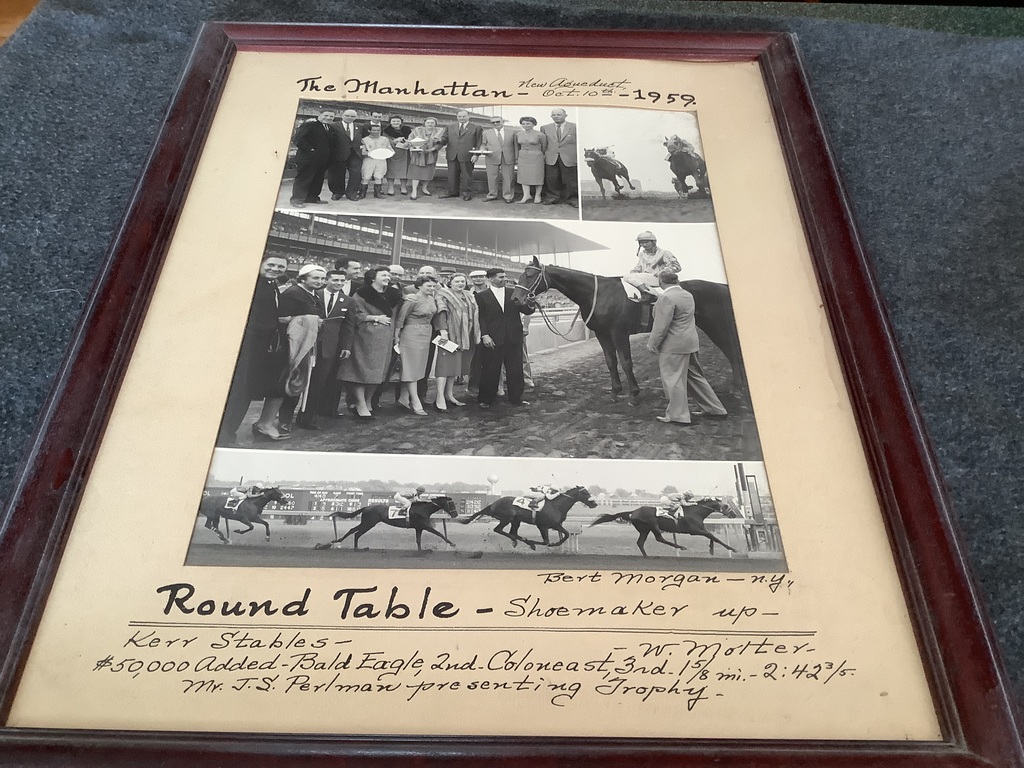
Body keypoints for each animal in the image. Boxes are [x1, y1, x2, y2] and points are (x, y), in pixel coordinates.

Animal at [320, 495, 459, 551]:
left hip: (367, 522)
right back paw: (354, 547)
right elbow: (440, 534)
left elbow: (418, 541)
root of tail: (366, 507)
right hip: (369, 523)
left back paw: (343, 543)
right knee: (356, 533)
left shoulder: (419, 528)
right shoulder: (425, 526)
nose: (455, 515)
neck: (423, 509)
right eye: (451, 504)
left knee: (353, 531)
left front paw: (420, 552)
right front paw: (452, 544)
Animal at [458, 486, 597, 550]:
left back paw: (517, 540)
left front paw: (555, 544)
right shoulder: (542, 525)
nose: (594, 504)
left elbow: (567, 534)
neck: (556, 505)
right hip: (508, 518)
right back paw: (519, 541)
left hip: (516, 520)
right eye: (585, 493)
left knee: (512, 532)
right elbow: (545, 541)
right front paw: (535, 543)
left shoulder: (556, 525)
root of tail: (493, 504)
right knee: (499, 530)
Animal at [510, 257, 745, 405]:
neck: (598, 293)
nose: (516, 299)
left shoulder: (618, 332)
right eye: (521, 276)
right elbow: (610, 361)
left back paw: (737, 387)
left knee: (731, 351)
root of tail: (723, 287)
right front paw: (615, 392)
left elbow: (625, 362)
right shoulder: (603, 334)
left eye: (529, 275)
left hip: (717, 326)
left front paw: (633, 394)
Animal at [589, 498, 740, 557]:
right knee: (659, 539)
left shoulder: (701, 529)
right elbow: (713, 536)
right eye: (726, 505)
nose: (733, 514)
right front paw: (732, 549)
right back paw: (681, 547)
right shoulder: (694, 530)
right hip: (652, 524)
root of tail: (632, 512)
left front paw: (712, 549)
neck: (695, 512)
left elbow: (712, 537)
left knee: (640, 542)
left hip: (644, 529)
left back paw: (646, 556)